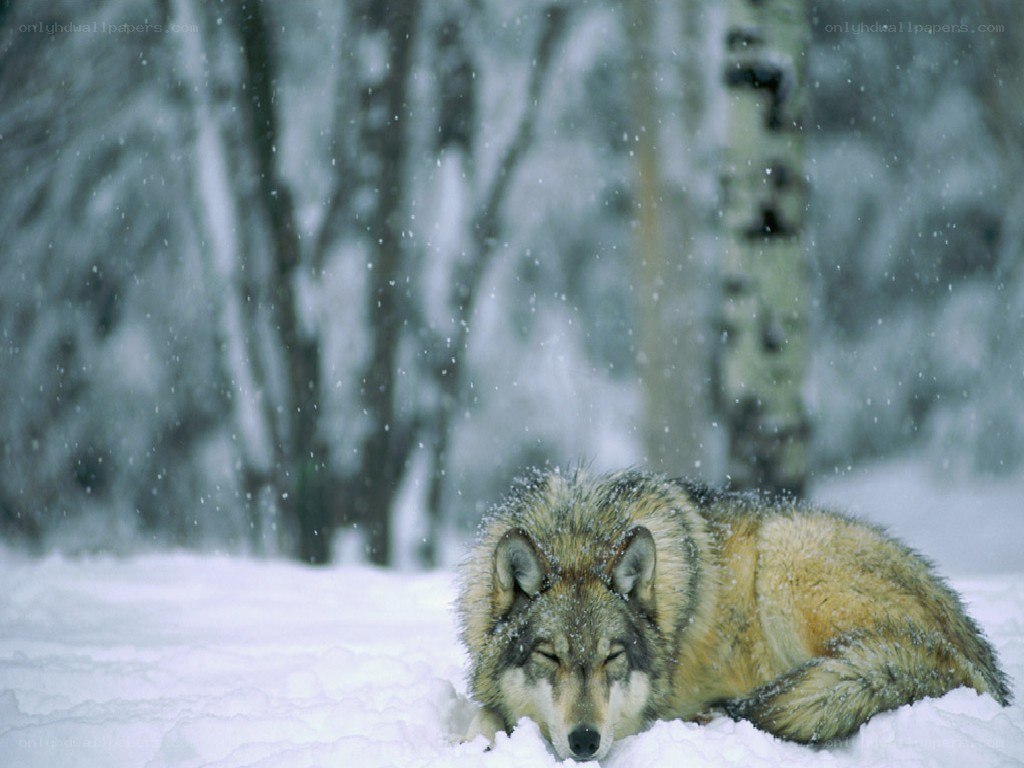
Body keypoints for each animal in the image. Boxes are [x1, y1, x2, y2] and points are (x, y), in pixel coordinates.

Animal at [456, 468, 1011, 761]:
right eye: (549, 656)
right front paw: (476, 743)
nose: (585, 740)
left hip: (784, 561)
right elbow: (483, 715)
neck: (578, 535)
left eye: (613, 658)